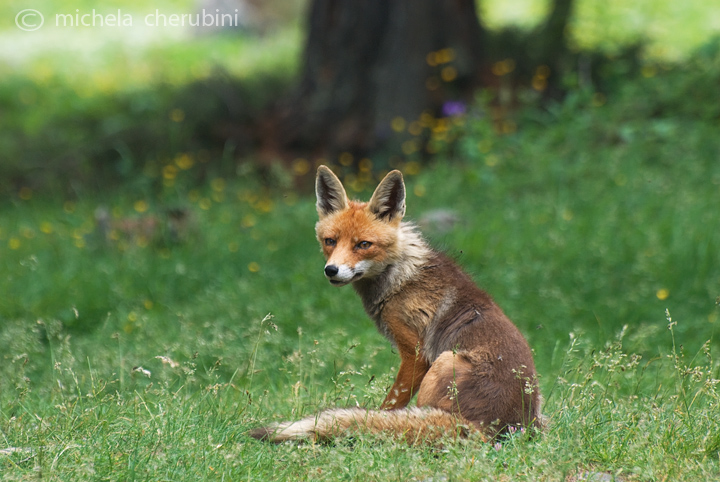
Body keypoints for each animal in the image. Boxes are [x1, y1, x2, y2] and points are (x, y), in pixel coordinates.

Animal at [250, 167, 544, 444]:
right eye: (330, 241)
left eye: (363, 244)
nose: (331, 270)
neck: (400, 276)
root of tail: (489, 429)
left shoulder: (415, 355)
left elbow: (389, 407)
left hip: (443, 362)